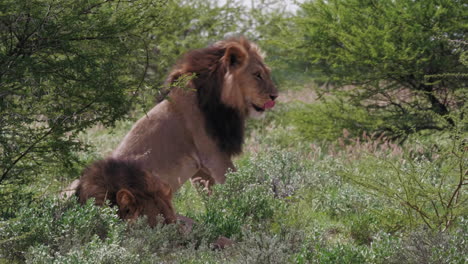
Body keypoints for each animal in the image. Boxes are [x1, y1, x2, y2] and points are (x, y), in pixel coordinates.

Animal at [111, 37, 276, 192]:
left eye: (268, 73)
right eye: (257, 75)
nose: (275, 96)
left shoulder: (200, 170)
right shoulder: (213, 155)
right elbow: (237, 186)